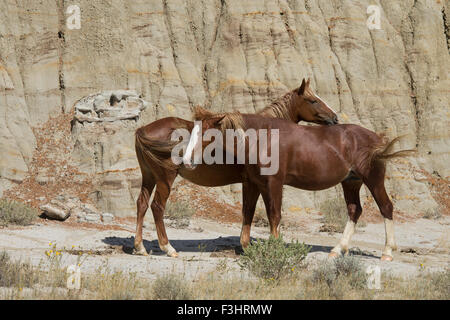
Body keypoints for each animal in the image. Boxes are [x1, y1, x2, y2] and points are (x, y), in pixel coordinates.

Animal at [134, 79, 338, 256]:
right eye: (313, 100)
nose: (335, 118)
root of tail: (143, 129)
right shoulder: (255, 183)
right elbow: (253, 211)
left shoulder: (251, 183)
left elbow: (247, 211)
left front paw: (245, 246)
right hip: (165, 179)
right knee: (157, 206)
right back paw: (168, 248)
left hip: (149, 177)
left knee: (142, 204)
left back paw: (140, 247)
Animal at [195, 112, 414, 260]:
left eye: (206, 134)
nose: (191, 158)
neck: (262, 139)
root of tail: (376, 138)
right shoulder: (253, 184)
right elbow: (247, 213)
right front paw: (247, 248)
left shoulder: (273, 183)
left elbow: (274, 215)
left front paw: (275, 248)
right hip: (351, 183)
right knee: (355, 210)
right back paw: (337, 250)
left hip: (373, 180)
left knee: (386, 207)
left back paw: (387, 251)